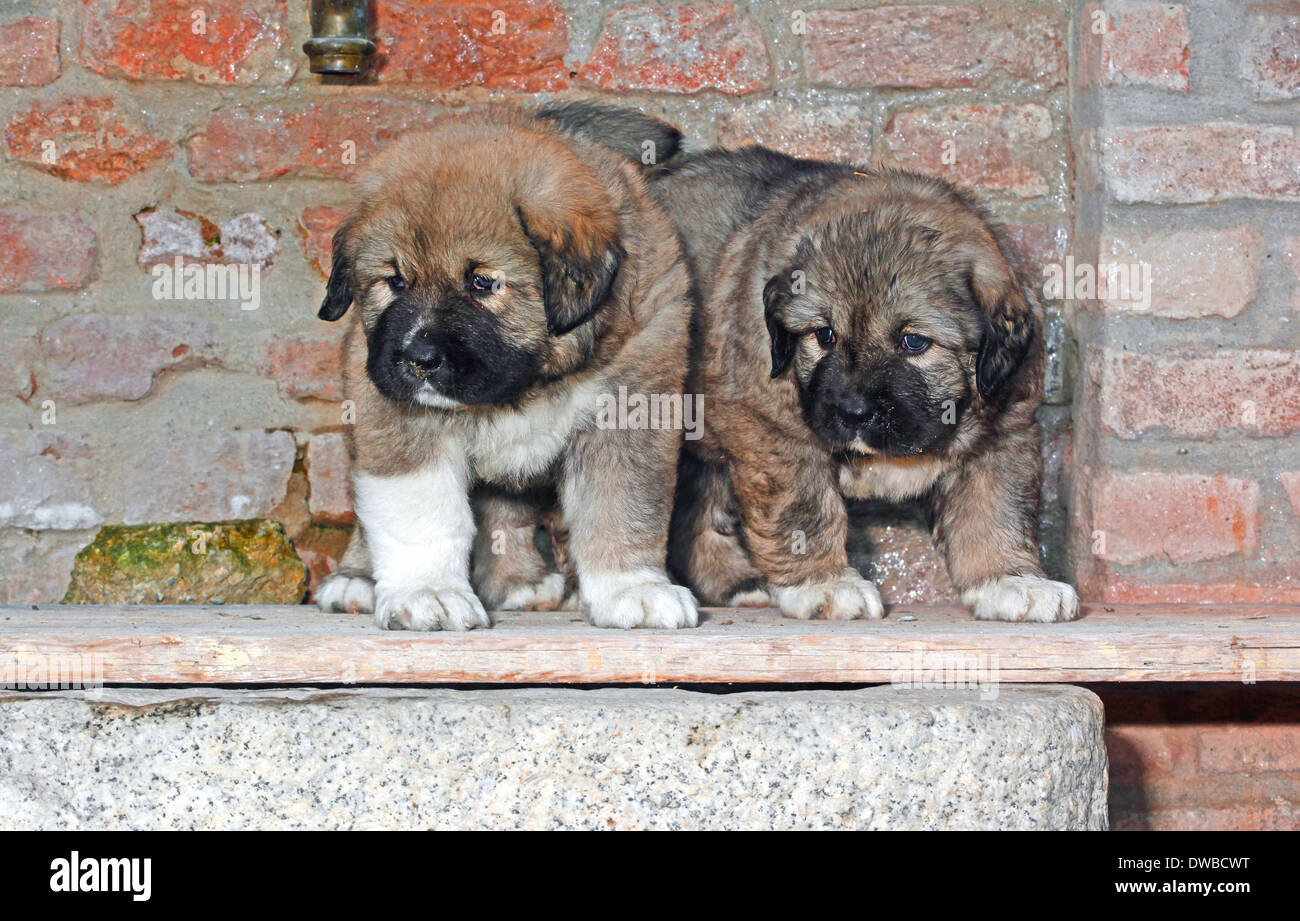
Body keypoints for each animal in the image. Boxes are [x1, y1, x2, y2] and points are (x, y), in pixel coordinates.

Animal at [312, 104, 702, 629]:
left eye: (482, 282)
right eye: (394, 282)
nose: (417, 360)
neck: (529, 383)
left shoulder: (631, 410)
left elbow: (621, 504)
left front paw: (632, 588)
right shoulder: (396, 415)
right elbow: (419, 511)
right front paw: (428, 592)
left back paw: (521, 581)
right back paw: (356, 579)